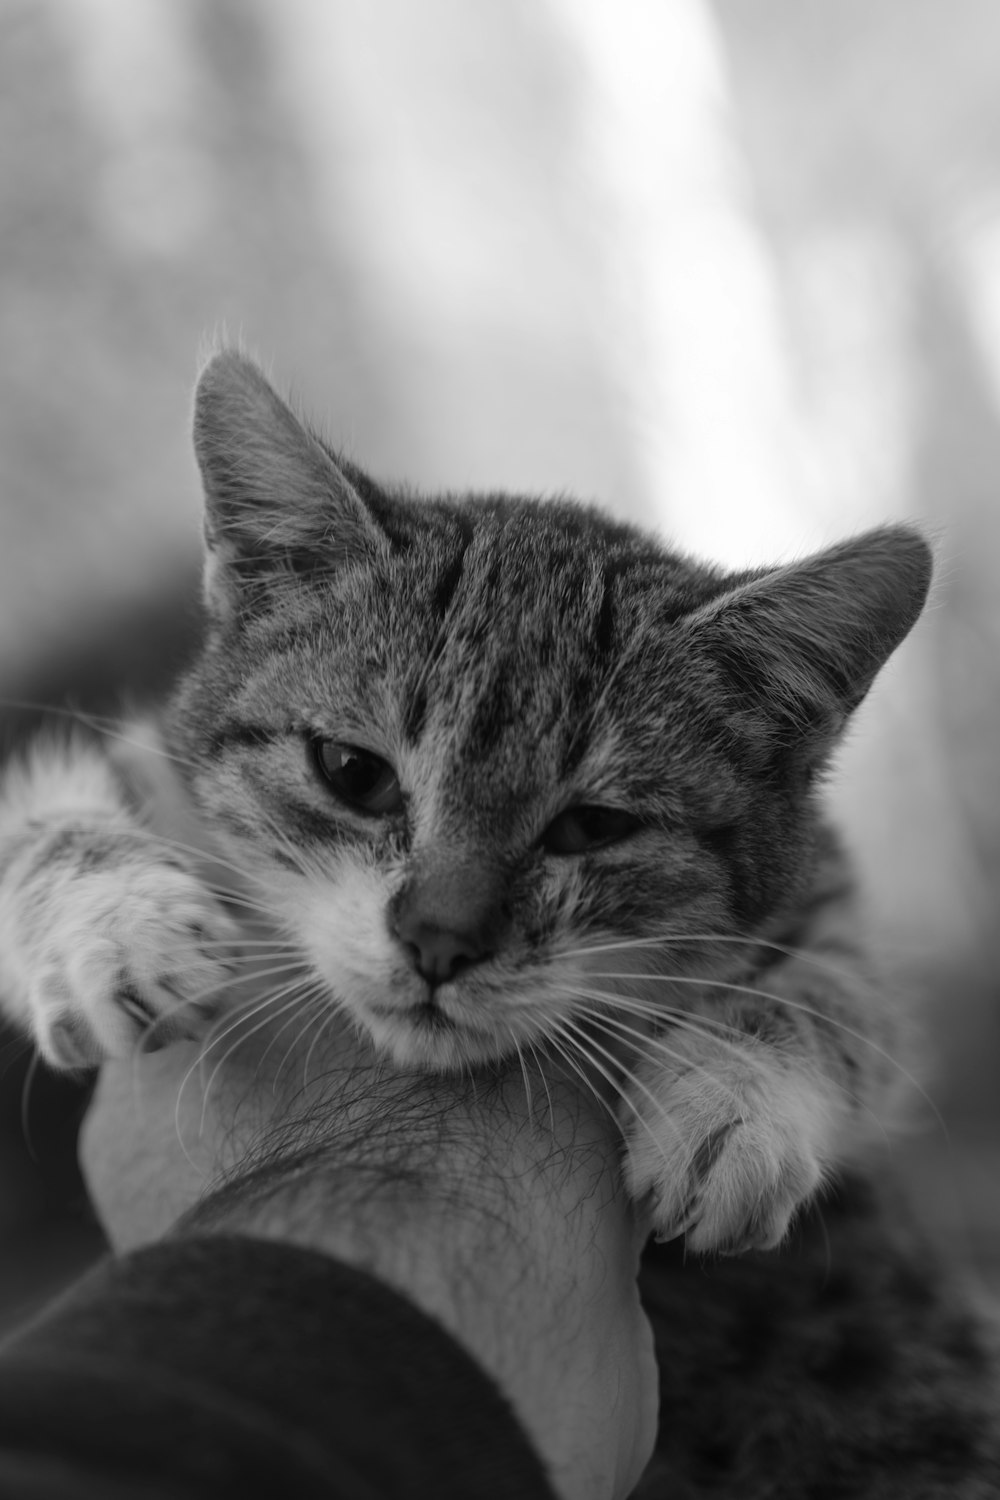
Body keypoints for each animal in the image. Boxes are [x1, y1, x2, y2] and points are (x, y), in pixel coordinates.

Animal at [0, 351, 929, 1254]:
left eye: (593, 825)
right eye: (353, 771)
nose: (438, 942)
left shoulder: (824, 885)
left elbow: (841, 993)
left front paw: (733, 1099)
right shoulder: (149, 756)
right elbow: (36, 824)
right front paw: (117, 928)